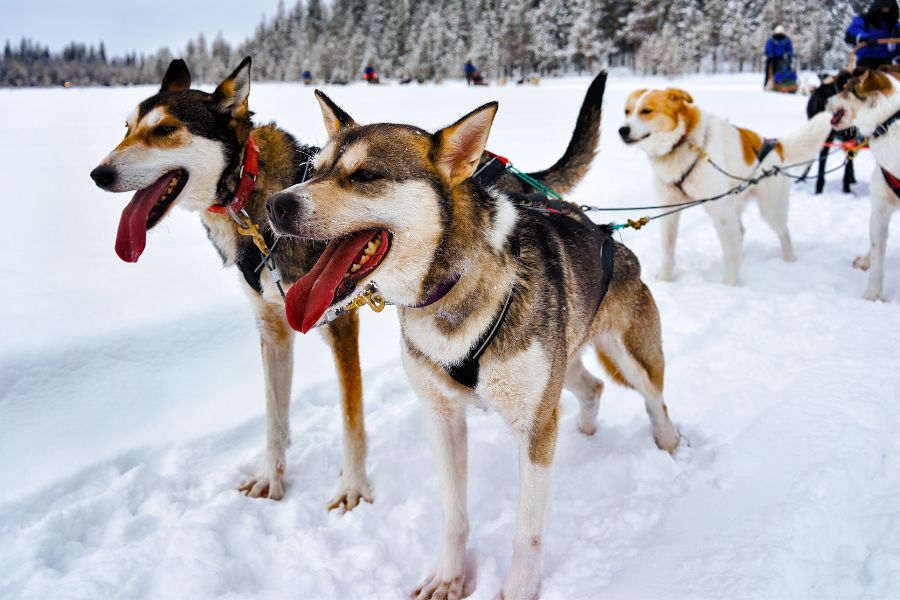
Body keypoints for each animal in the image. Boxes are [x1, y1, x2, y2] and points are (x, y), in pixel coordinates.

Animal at [88, 57, 608, 506]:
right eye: (127, 128)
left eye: (165, 130)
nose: (99, 173)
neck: (250, 193)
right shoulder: (273, 328)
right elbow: (275, 416)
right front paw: (271, 476)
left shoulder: (340, 327)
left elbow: (351, 417)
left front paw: (353, 487)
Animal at [264, 83, 680, 600]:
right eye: (314, 170)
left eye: (365, 175)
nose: (276, 204)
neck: (451, 287)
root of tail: (605, 234)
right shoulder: (443, 418)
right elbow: (454, 513)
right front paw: (450, 577)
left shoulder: (533, 427)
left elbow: (528, 532)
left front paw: (518, 590)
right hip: (560, 370)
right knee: (592, 387)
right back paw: (586, 433)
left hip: (630, 356)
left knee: (655, 400)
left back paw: (670, 448)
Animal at [620, 88, 828, 288]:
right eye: (627, 111)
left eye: (646, 111)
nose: (622, 129)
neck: (683, 142)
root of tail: (773, 144)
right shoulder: (670, 211)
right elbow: (668, 249)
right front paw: (665, 279)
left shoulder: (720, 212)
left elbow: (730, 254)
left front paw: (730, 285)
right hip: (734, 204)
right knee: (740, 232)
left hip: (769, 209)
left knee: (783, 232)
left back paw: (789, 259)